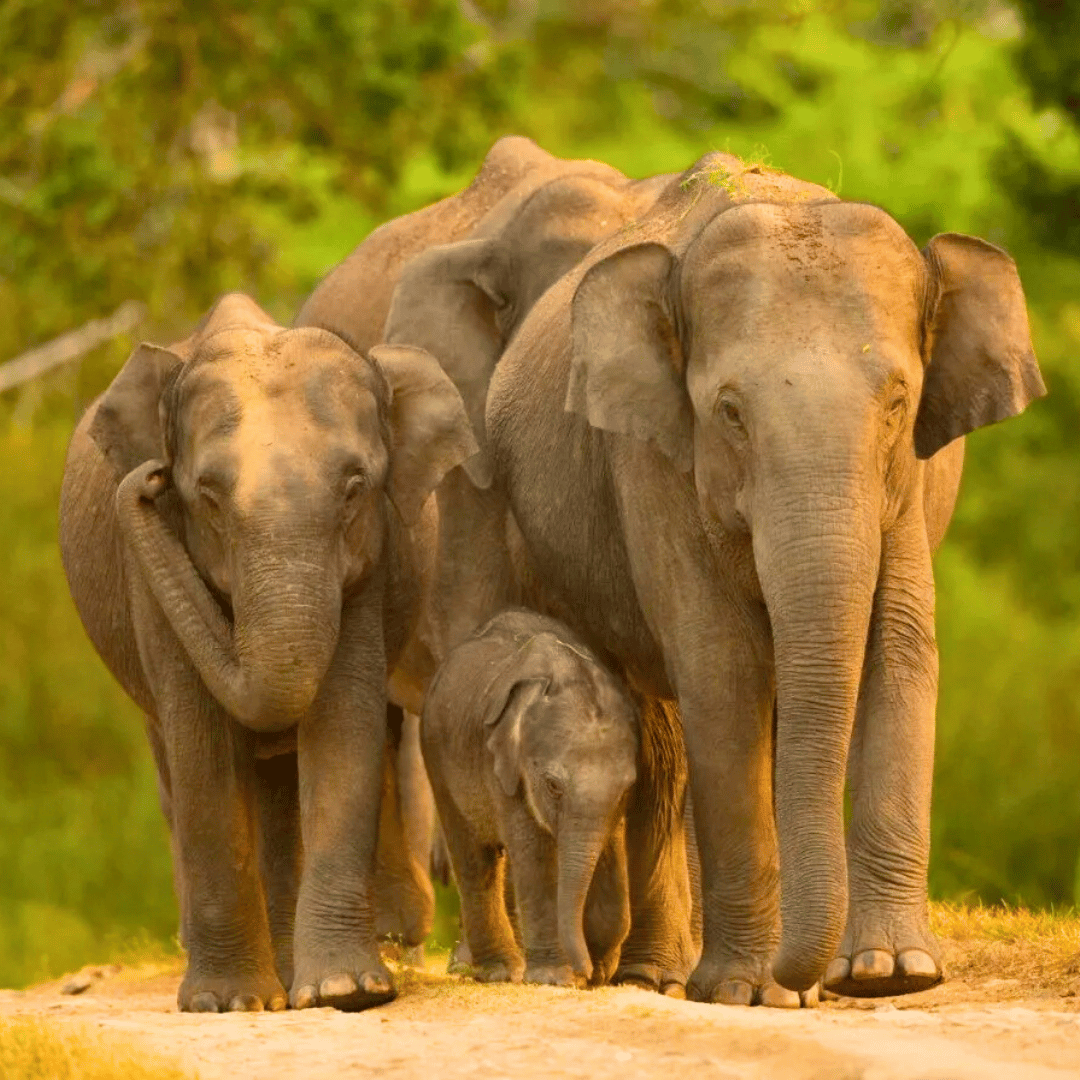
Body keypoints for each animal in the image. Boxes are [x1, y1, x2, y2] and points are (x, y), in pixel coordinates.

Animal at [58, 292, 476, 1012]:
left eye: (355, 488)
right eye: (205, 495)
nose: (148, 478)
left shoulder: (370, 563)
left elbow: (343, 725)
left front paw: (345, 991)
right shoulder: (152, 573)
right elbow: (201, 744)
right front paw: (226, 1004)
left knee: (280, 786)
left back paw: (288, 973)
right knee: (178, 765)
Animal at [421, 609, 638, 988]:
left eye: (627, 788)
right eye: (552, 786)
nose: (584, 972)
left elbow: (611, 851)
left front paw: (598, 971)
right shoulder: (504, 769)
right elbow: (534, 857)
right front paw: (556, 979)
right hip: (437, 754)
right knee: (475, 859)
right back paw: (499, 971)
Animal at [482, 153, 1046, 1006]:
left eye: (898, 402)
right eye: (730, 413)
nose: (806, 979)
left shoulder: (907, 485)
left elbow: (900, 650)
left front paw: (890, 974)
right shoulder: (655, 462)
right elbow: (723, 669)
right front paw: (747, 992)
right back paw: (662, 977)